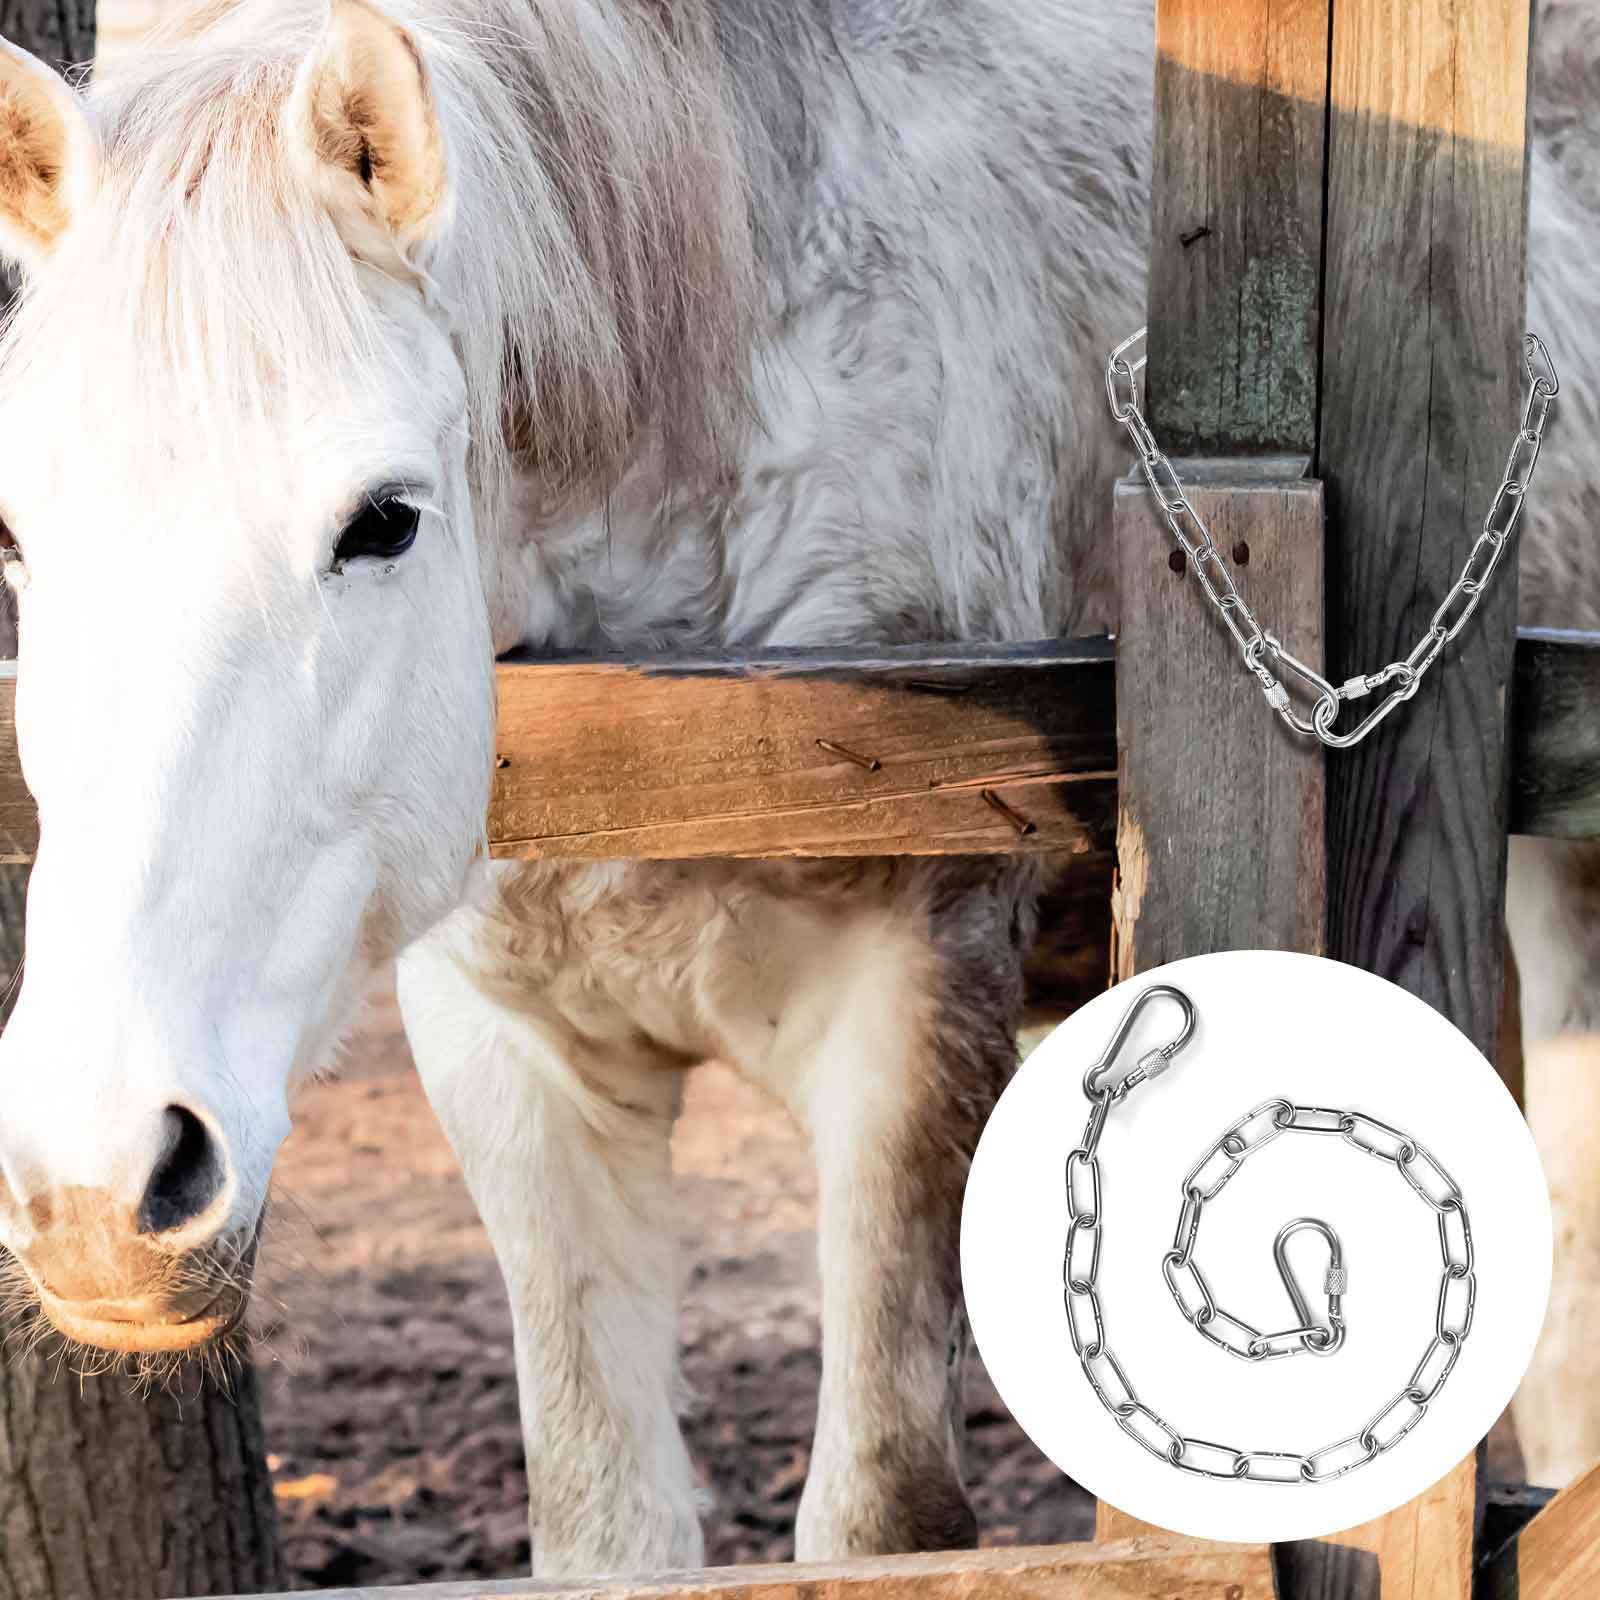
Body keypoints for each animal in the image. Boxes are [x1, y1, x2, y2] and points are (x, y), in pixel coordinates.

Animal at [0, 0, 1589, 1576]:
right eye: (18, 535)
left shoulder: (909, 1015)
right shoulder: (511, 1057)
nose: (95, 1185)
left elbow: (880, 1518)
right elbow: (609, 1527)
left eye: (383, 521)